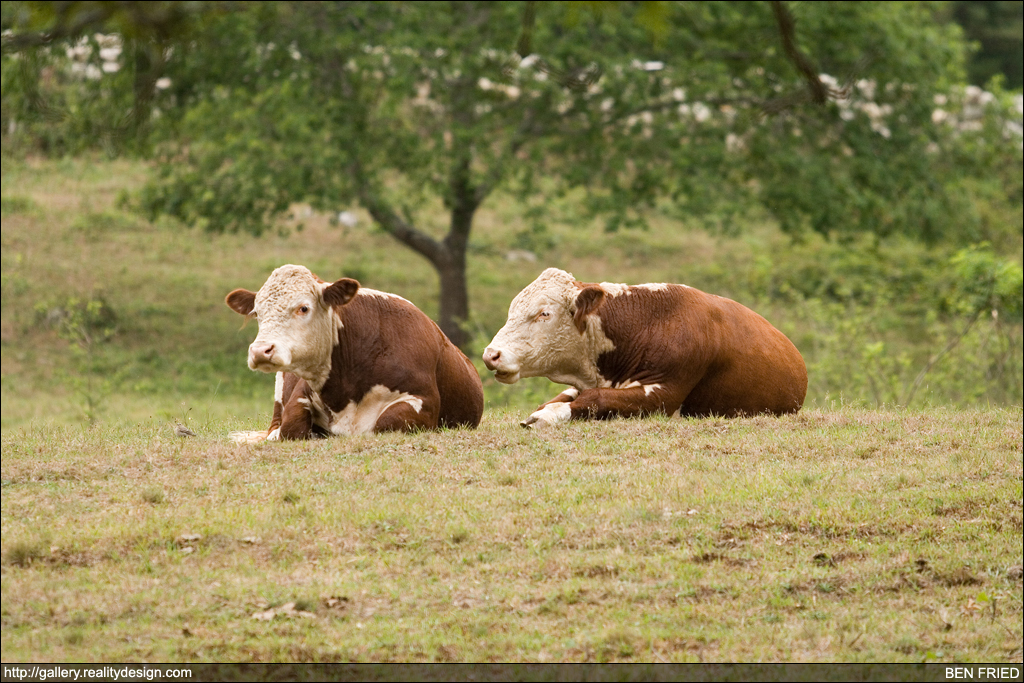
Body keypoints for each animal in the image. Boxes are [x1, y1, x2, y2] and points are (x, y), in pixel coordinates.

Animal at [226, 264, 481, 440]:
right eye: (257, 313)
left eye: (303, 308)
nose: (260, 350)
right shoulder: (300, 393)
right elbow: (292, 427)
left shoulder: (422, 401)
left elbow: (385, 423)